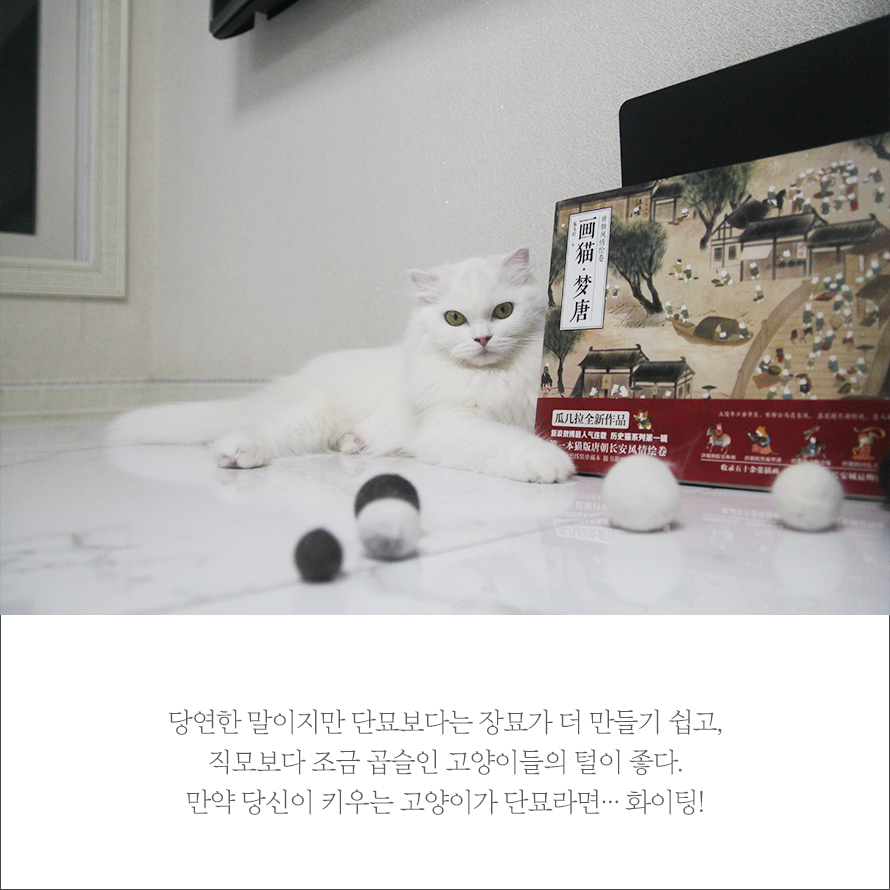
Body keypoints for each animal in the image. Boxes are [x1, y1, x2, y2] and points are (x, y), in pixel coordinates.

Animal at [107, 247, 575, 484]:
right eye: (454, 319)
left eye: (503, 311)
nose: (482, 339)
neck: (493, 376)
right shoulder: (449, 426)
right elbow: (508, 443)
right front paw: (554, 464)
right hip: (306, 417)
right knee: (247, 433)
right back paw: (236, 454)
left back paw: (354, 444)